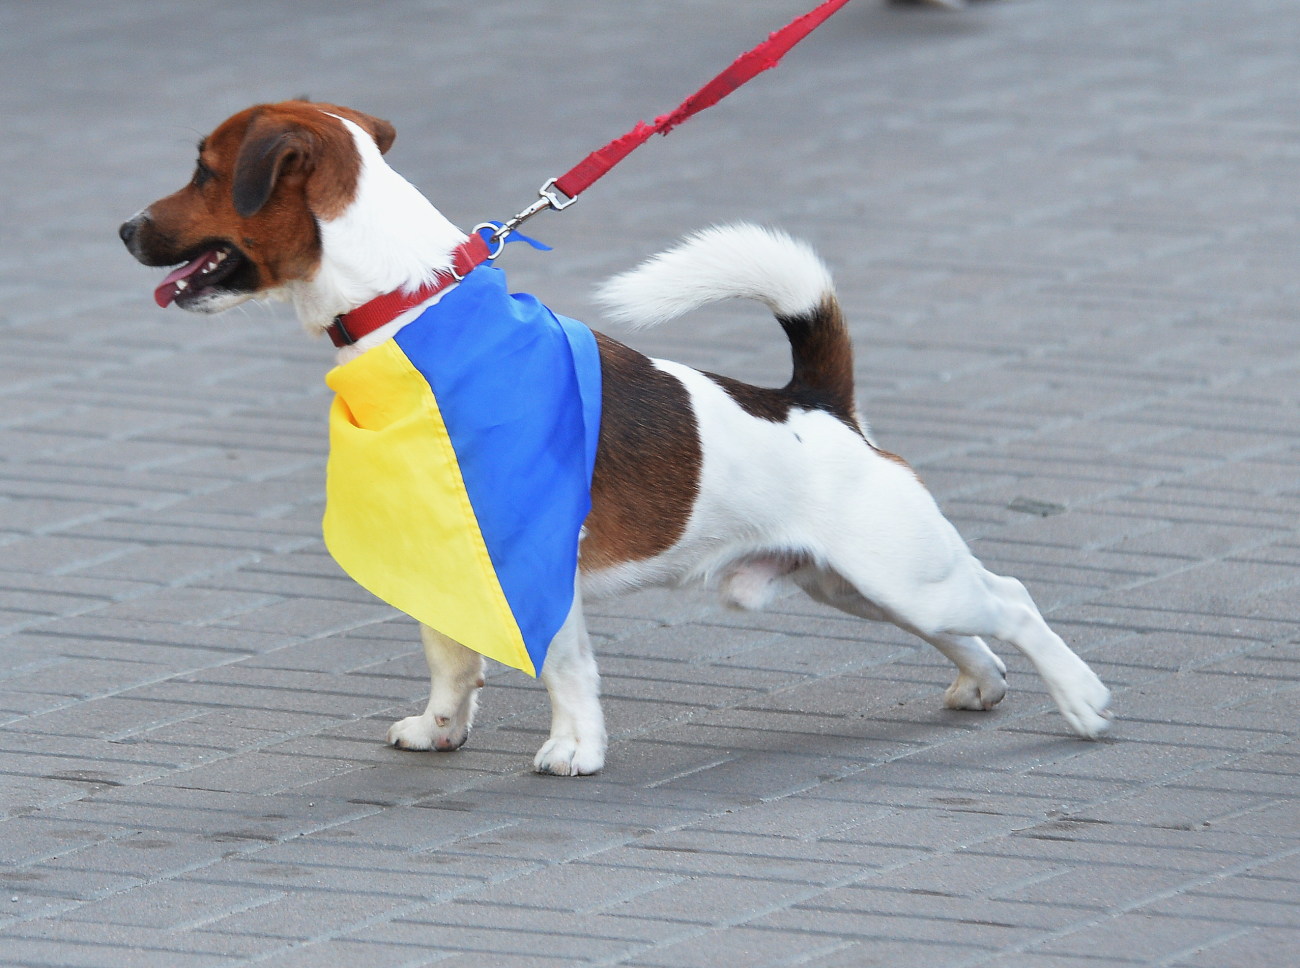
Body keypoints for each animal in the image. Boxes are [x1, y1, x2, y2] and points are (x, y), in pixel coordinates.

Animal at [119, 101, 1107, 774]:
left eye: (204, 172)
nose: (125, 227)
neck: (413, 311)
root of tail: (818, 404)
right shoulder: (444, 553)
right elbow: (450, 658)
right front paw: (441, 729)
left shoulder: (533, 552)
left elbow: (563, 666)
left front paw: (576, 748)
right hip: (856, 583)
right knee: (968, 631)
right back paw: (981, 685)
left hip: (900, 573)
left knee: (1013, 601)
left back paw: (1082, 701)